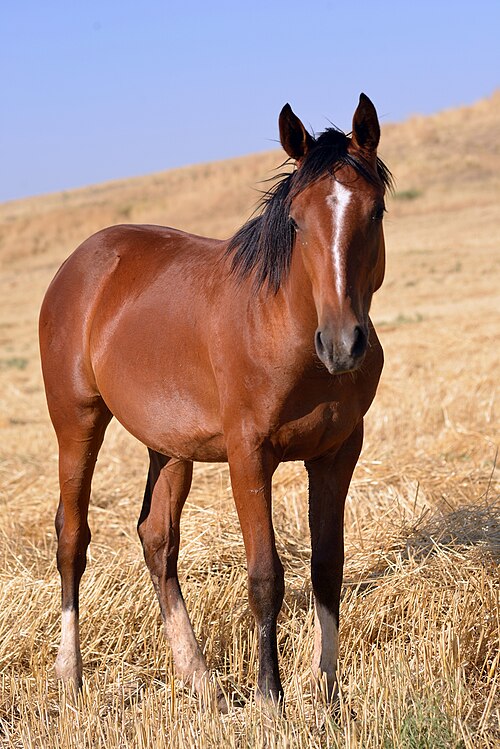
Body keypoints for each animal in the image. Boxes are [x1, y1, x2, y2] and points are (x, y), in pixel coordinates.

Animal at [39, 94, 392, 711]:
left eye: (374, 212)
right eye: (296, 221)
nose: (342, 343)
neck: (284, 328)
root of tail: (80, 264)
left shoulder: (337, 455)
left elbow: (327, 567)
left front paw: (326, 690)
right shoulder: (249, 455)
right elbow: (266, 575)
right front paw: (270, 698)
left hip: (168, 447)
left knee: (157, 539)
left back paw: (198, 677)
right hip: (76, 422)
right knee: (72, 538)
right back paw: (71, 674)